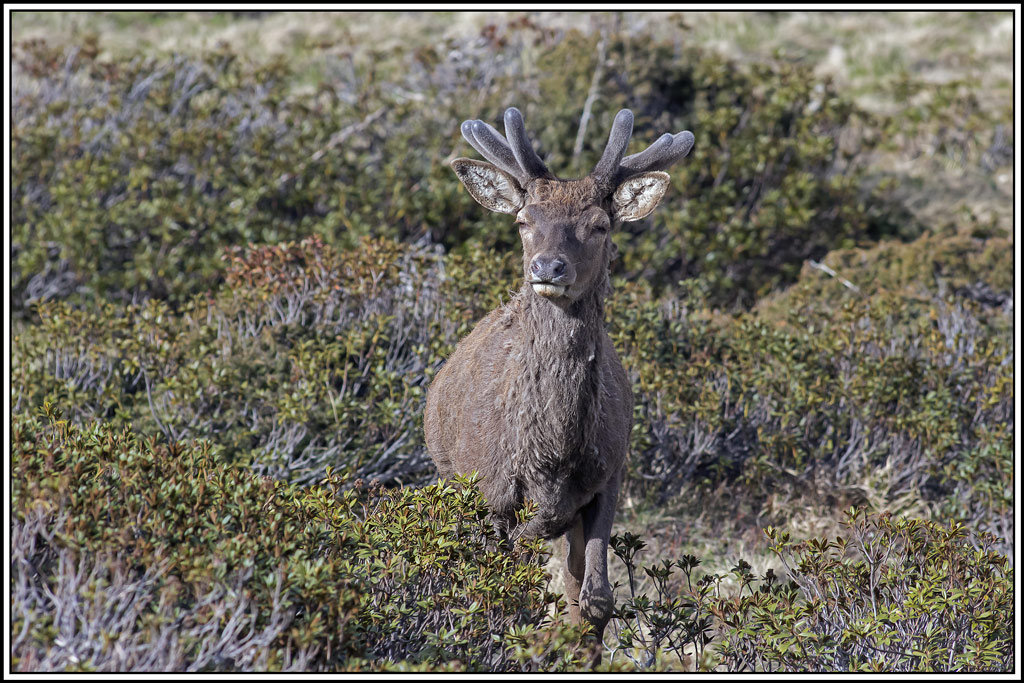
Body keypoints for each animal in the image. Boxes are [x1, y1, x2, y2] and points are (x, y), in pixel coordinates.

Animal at [424, 106, 694, 653]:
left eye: (600, 225)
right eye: (523, 221)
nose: (547, 266)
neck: (553, 450)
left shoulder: (609, 475)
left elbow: (596, 600)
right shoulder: (492, 489)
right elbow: (500, 587)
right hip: (447, 472)